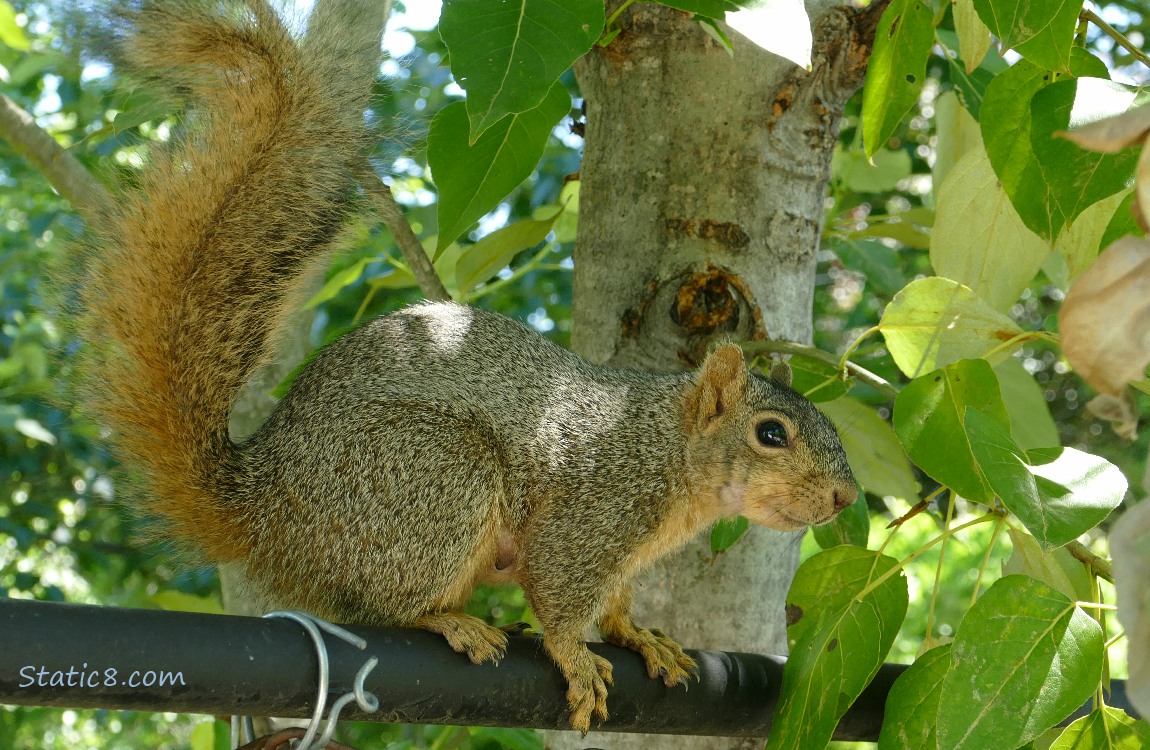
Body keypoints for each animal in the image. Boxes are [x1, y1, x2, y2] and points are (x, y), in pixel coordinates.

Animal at [76, 0, 855, 731]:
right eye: (772, 434)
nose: (845, 499)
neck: (672, 452)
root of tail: (264, 507)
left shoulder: (626, 550)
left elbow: (615, 603)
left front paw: (639, 635)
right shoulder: (595, 508)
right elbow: (560, 592)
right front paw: (575, 655)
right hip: (432, 476)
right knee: (386, 605)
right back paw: (448, 619)